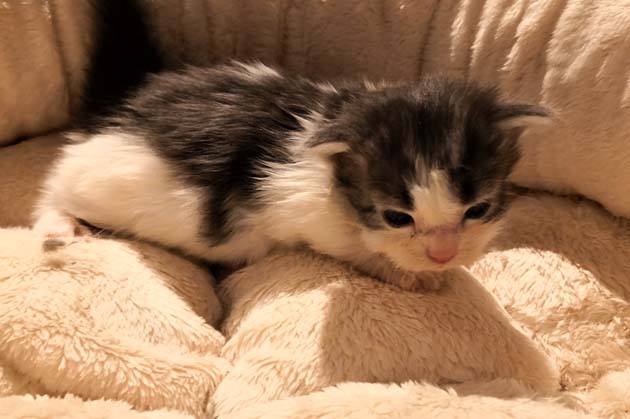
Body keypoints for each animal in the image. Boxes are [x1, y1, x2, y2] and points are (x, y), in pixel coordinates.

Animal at [33, 61, 550, 290]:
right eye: (396, 217)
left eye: (478, 209)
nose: (443, 255)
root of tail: (106, 122)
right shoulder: (297, 208)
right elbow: (350, 246)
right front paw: (410, 275)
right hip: (97, 183)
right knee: (53, 189)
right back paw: (60, 225)